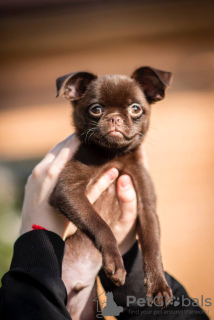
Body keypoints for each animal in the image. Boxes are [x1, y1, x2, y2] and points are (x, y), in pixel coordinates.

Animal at [49, 67, 173, 310]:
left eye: (135, 109)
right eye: (96, 109)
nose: (115, 117)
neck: (114, 155)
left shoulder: (146, 208)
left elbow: (153, 245)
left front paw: (158, 285)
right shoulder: (68, 191)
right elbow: (101, 224)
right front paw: (115, 262)